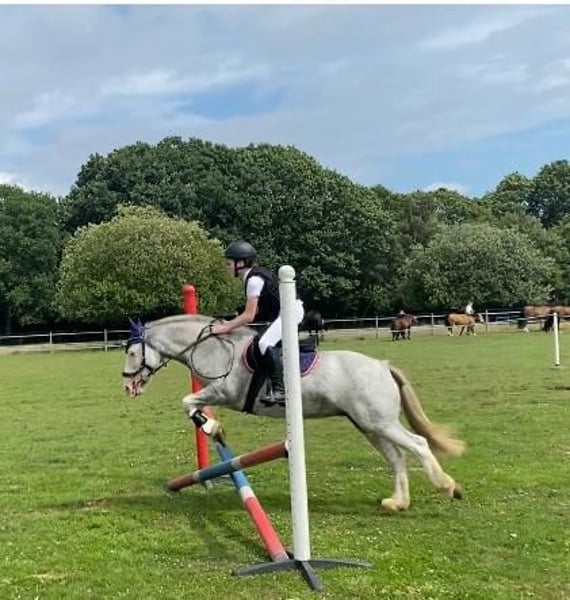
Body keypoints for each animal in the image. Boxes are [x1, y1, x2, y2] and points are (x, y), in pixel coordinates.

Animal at [121, 314, 465, 513]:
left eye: (132, 352)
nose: (127, 386)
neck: (214, 349)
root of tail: (381, 365)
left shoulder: (223, 392)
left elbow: (187, 401)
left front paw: (210, 427)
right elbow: (191, 404)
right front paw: (211, 426)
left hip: (380, 422)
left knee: (419, 444)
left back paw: (449, 487)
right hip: (369, 425)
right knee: (397, 457)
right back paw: (397, 503)